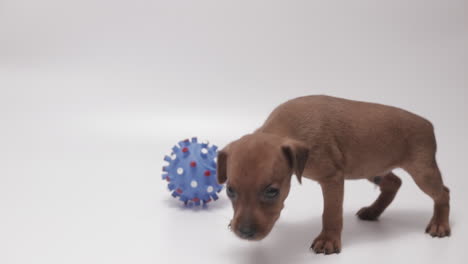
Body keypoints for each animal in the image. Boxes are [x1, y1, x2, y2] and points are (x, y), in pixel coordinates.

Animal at [218, 95, 452, 254]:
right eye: (230, 191)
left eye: (272, 192)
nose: (244, 233)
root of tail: (427, 123)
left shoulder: (332, 179)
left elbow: (331, 213)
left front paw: (328, 240)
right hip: (371, 168)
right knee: (394, 183)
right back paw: (373, 211)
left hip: (423, 172)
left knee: (443, 193)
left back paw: (440, 224)